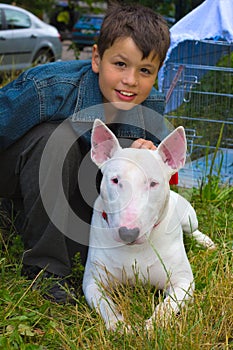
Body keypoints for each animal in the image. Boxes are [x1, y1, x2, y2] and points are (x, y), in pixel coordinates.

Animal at [82, 119, 215, 330]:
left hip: (189, 217)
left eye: (153, 183)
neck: (135, 250)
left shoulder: (183, 281)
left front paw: (151, 327)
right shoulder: (93, 281)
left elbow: (167, 306)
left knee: (193, 230)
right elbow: (105, 305)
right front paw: (121, 327)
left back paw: (206, 242)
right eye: (115, 180)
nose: (128, 233)